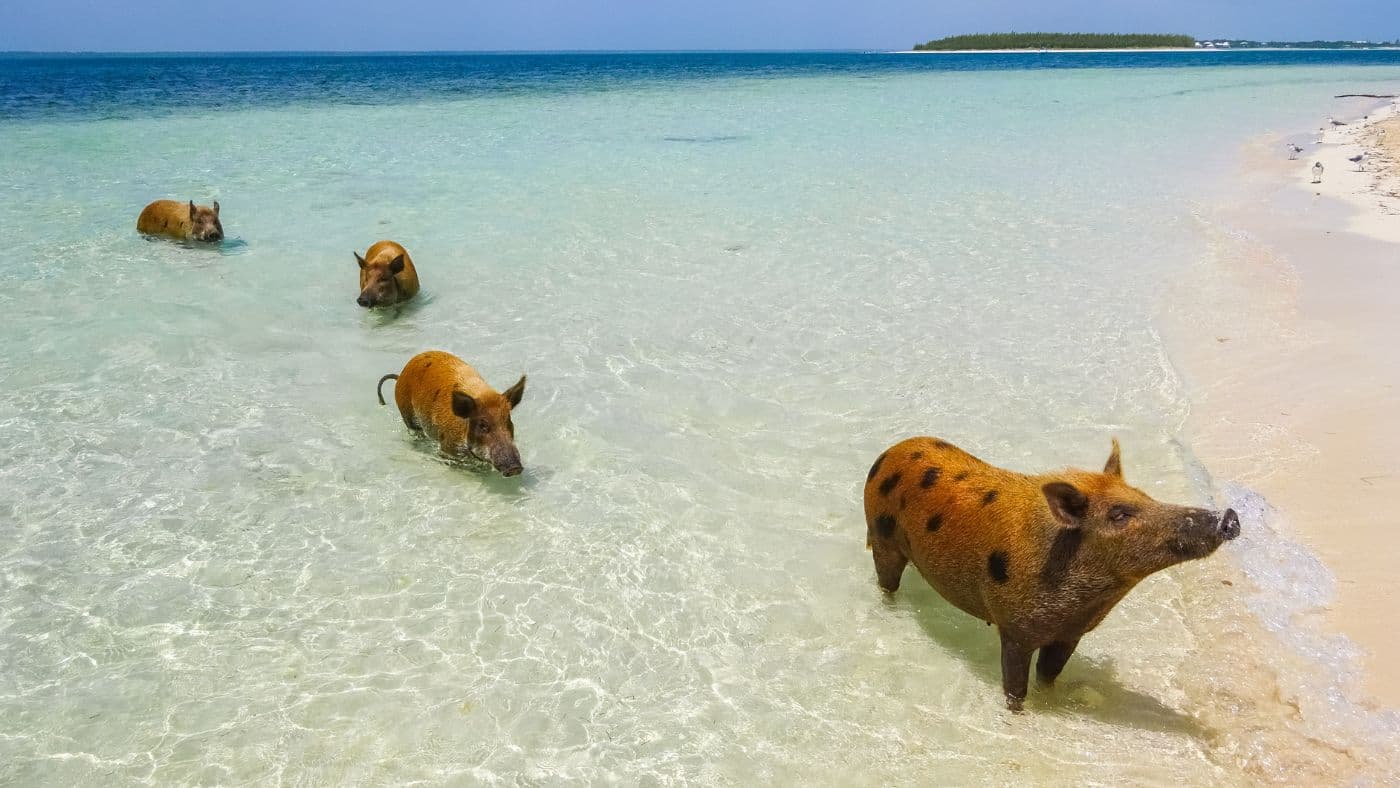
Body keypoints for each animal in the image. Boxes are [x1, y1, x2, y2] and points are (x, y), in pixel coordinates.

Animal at [377, 350, 526, 476]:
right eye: (482, 425)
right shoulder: (447, 449)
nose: (515, 468)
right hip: (407, 415)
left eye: (509, 420)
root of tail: (400, 376)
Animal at [863, 437, 1240, 711]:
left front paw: (1056, 698)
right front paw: (1017, 714)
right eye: (1119, 514)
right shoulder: (1015, 629)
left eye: (1146, 496)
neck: (1088, 600)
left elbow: (1048, 675)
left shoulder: (1070, 634)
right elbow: (1015, 687)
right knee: (886, 580)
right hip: (881, 536)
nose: (1229, 517)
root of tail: (890, 451)